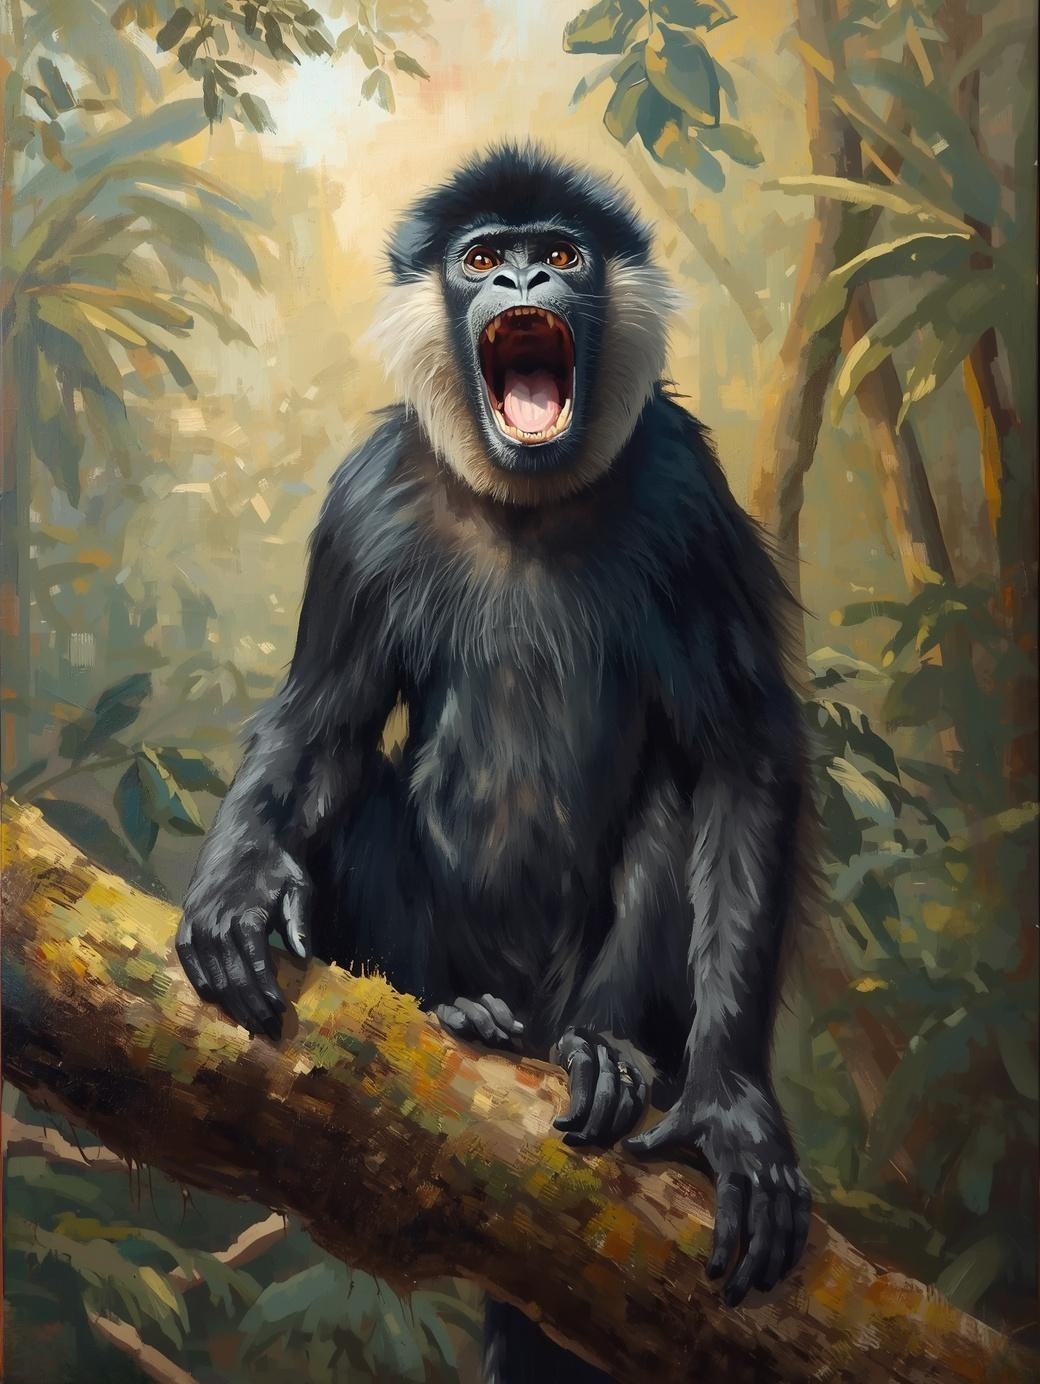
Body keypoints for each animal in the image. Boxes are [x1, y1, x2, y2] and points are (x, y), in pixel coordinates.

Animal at [176, 143, 813, 1384]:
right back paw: (463, 1014)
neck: (525, 503)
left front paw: (726, 1109)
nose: (524, 280)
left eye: (561, 252)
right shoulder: (366, 497)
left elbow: (740, 756)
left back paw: (604, 1056)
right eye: (481, 263)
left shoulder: (683, 491)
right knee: (364, 790)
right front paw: (234, 891)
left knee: (669, 803)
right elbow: (319, 723)